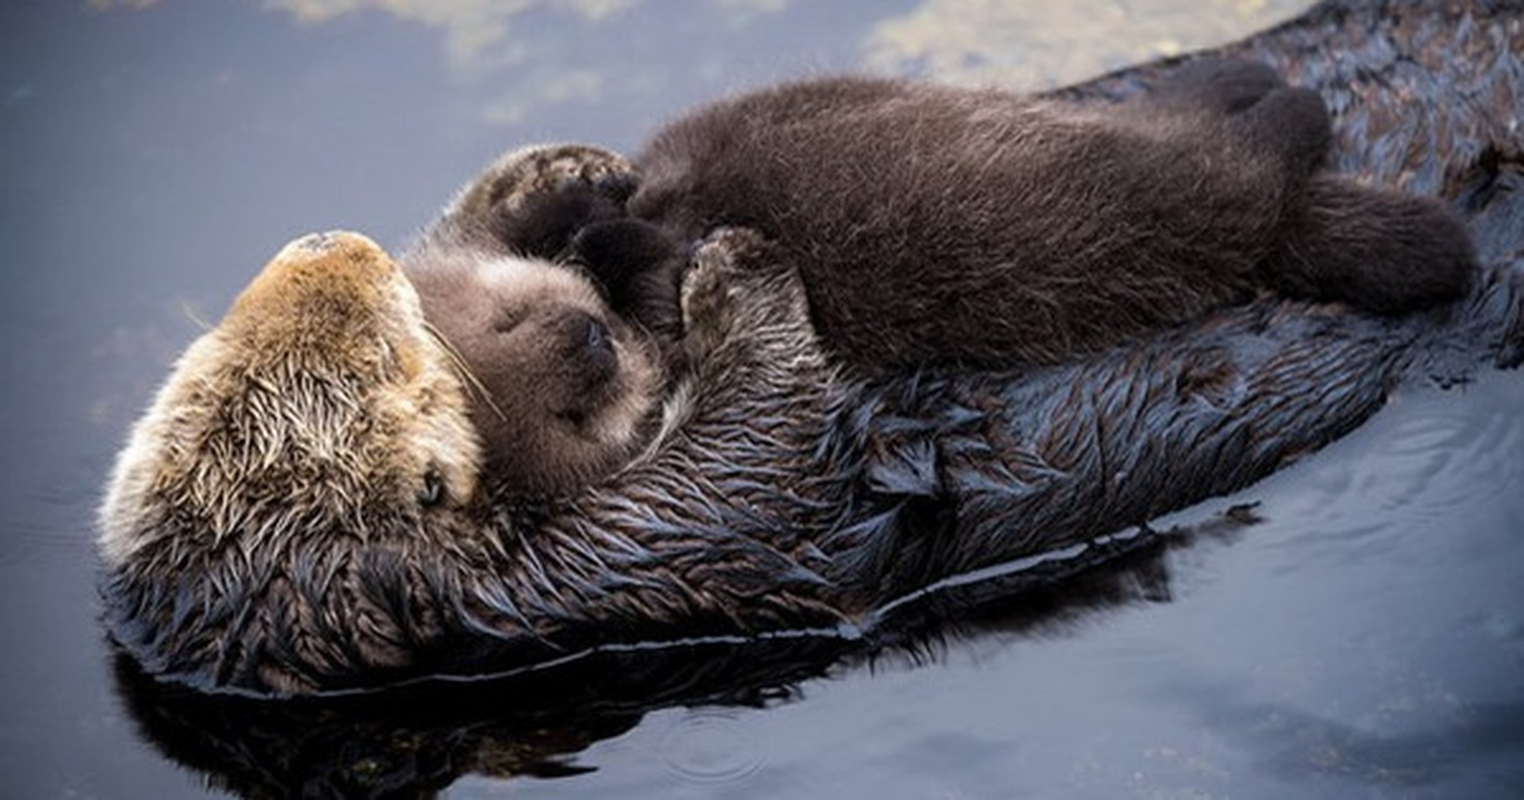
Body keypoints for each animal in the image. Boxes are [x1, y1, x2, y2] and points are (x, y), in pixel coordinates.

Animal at [98, 0, 1524, 691]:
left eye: (385, 314)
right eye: (395, 372)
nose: (330, 250)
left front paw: (552, 175)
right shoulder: (622, 555)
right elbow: (757, 445)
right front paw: (731, 274)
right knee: (1256, 184)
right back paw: (1322, 156)